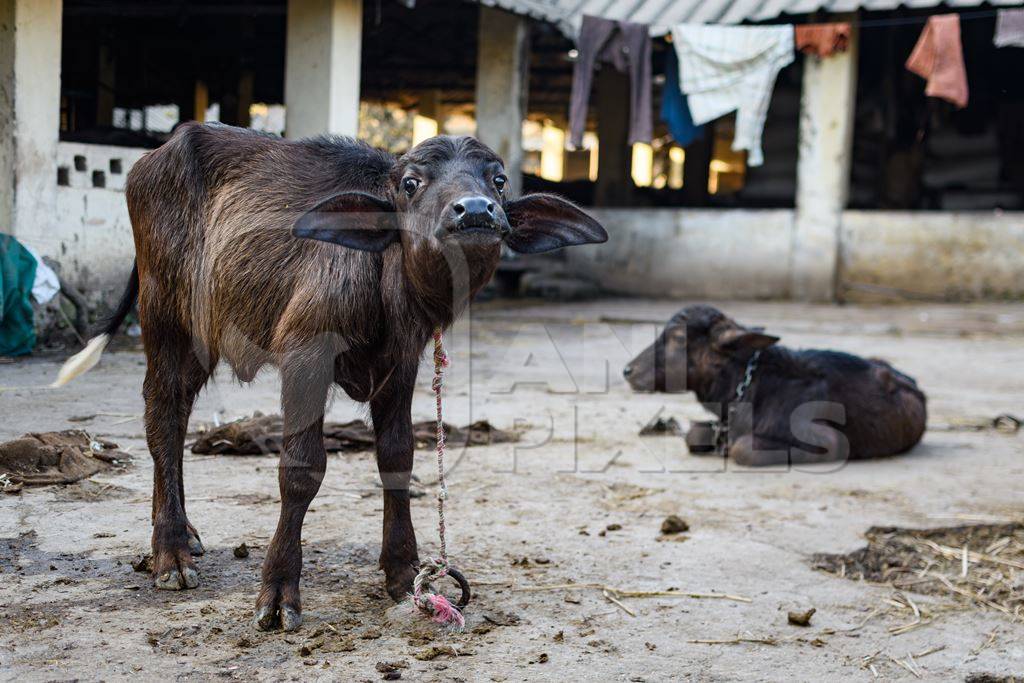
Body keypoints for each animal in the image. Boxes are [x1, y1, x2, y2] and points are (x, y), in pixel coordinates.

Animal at [58, 124, 606, 630]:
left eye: (498, 180)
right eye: (411, 182)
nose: (474, 211)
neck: (386, 280)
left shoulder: (401, 365)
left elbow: (398, 459)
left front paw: (404, 572)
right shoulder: (305, 357)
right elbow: (301, 469)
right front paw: (279, 591)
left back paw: (183, 538)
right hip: (166, 319)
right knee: (163, 419)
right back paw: (170, 552)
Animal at [622, 307, 929, 466]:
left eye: (677, 337)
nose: (627, 371)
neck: (753, 387)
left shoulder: (830, 443)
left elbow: (741, 447)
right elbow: (693, 435)